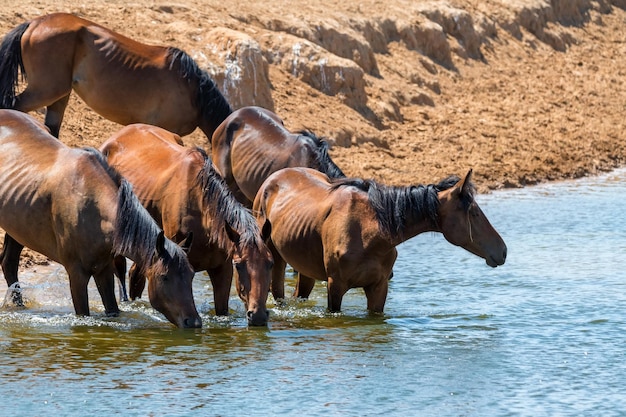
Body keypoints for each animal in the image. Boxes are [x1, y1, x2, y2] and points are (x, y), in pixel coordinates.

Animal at [0, 109, 200, 326]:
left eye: (191, 276)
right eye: (164, 277)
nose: (194, 322)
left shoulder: (104, 271)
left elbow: (112, 309)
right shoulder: (77, 275)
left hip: (18, 229)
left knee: (9, 264)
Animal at [251, 166, 504, 312]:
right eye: (474, 212)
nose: (503, 251)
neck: (370, 235)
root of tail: (271, 180)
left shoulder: (379, 287)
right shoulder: (335, 286)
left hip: (305, 268)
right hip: (276, 258)